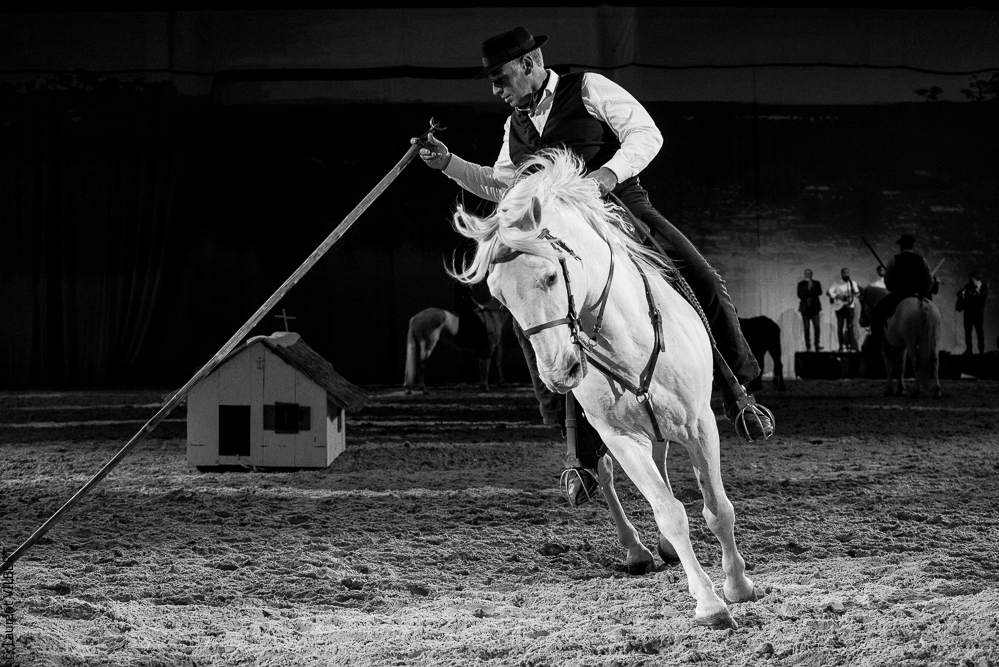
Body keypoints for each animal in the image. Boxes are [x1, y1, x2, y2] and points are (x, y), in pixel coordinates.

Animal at [450, 149, 756, 630]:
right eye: (499, 297)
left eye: (551, 276)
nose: (559, 373)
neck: (625, 337)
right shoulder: (618, 436)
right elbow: (669, 512)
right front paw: (709, 604)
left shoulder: (700, 423)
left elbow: (717, 509)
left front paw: (738, 586)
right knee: (609, 475)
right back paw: (636, 551)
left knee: (662, 459)